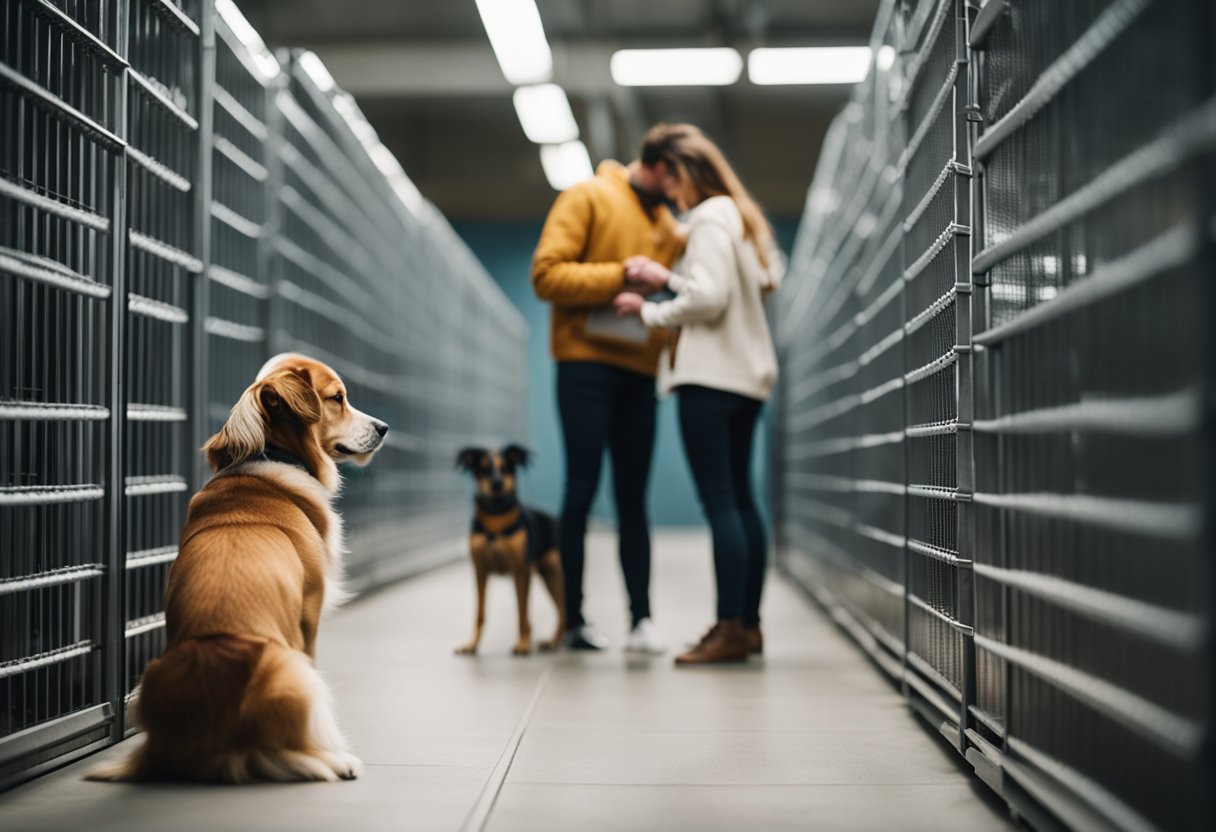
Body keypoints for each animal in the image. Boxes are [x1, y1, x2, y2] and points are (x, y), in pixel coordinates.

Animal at [85, 355, 386, 783]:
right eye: (337, 398)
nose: (384, 427)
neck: (274, 456)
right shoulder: (309, 615)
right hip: (290, 668)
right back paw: (339, 760)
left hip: (147, 681)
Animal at [457, 445, 564, 651]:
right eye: (483, 469)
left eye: (506, 467)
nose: (497, 483)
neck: (496, 518)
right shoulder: (480, 571)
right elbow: (480, 612)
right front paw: (472, 643)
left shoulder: (521, 571)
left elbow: (522, 610)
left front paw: (523, 644)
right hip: (550, 577)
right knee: (564, 610)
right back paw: (554, 641)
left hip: (557, 576)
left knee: (565, 610)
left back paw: (555, 641)